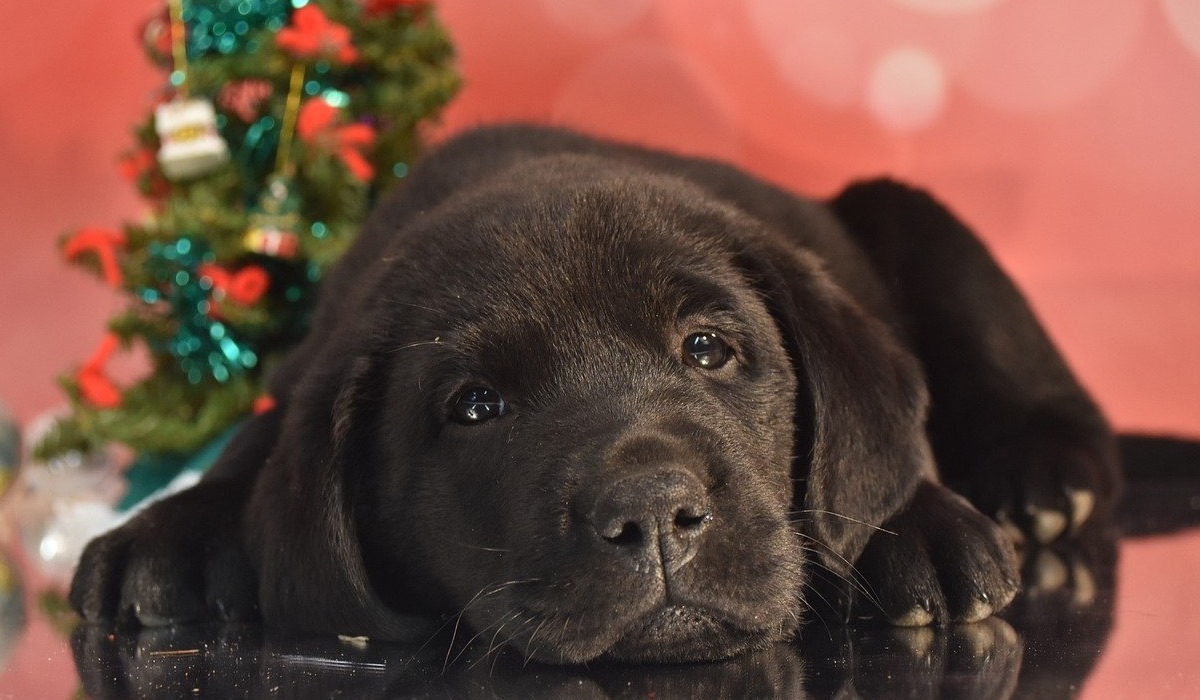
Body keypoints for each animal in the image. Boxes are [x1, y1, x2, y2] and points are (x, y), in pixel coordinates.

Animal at [70, 123, 1118, 667]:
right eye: (476, 407)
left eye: (708, 349)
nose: (653, 514)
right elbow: (250, 449)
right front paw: (163, 538)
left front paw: (916, 529)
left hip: (918, 216)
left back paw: (1040, 473)